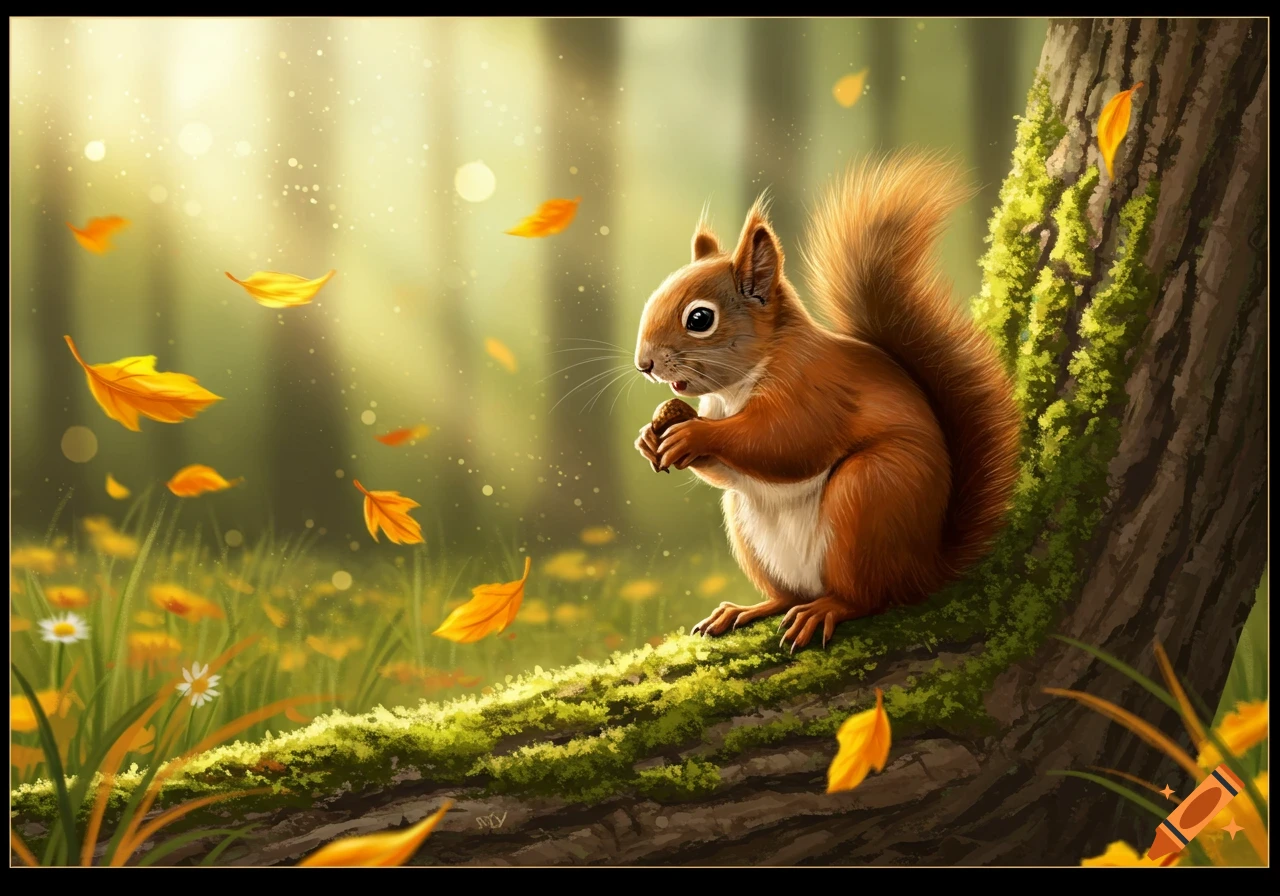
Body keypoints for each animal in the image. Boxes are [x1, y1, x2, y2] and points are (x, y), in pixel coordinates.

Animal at [632, 151, 1021, 652]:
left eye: (699, 319)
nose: (643, 363)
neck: (738, 387)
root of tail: (926, 569)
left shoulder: (816, 390)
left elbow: (785, 442)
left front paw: (692, 434)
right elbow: (727, 471)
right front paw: (652, 434)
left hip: (870, 494)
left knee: (868, 598)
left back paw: (825, 610)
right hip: (750, 529)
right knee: (786, 593)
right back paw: (746, 609)